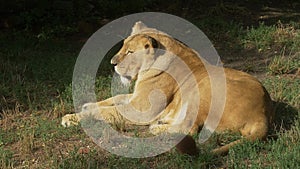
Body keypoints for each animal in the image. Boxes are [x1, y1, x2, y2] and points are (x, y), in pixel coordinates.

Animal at [62, 21, 276, 156]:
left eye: (130, 52)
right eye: (122, 47)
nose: (112, 63)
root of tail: (262, 113)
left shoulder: (142, 110)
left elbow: (108, 111)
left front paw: (71, 118)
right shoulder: (135, 98)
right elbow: (113, 99)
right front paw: (87, 105)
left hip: (201, 89)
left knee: (189, 129)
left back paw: (156, 128)